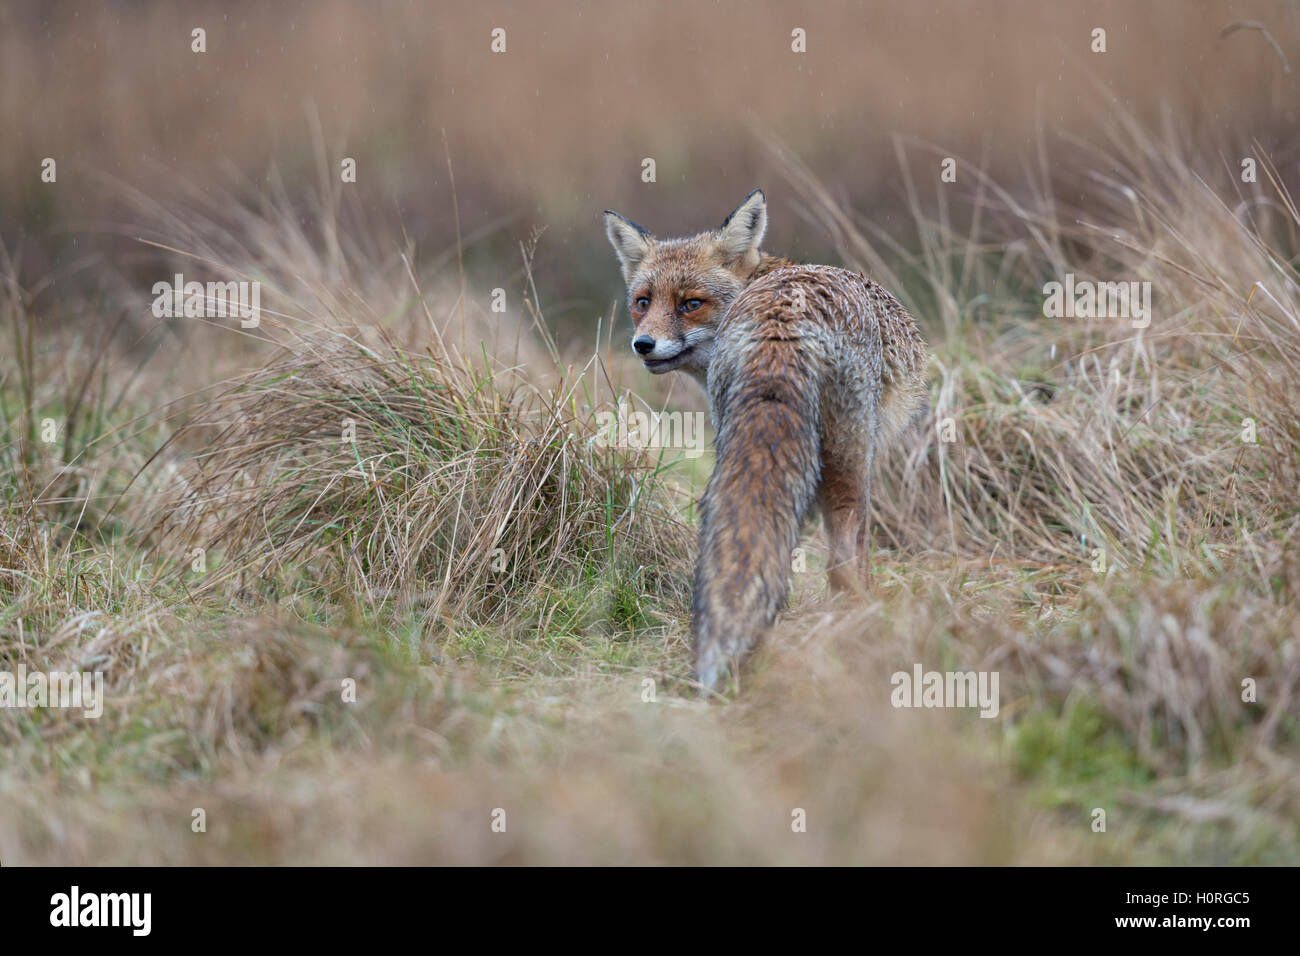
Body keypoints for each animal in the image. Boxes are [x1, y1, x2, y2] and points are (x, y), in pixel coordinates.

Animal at [603, 191, 930, 691]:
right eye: (644, 302)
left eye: (690, 303)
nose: (643, 343)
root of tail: (783, 316)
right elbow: (862, 550)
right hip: (850, 454)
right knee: (841, 556)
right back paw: (856, 628)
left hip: (737, 440)